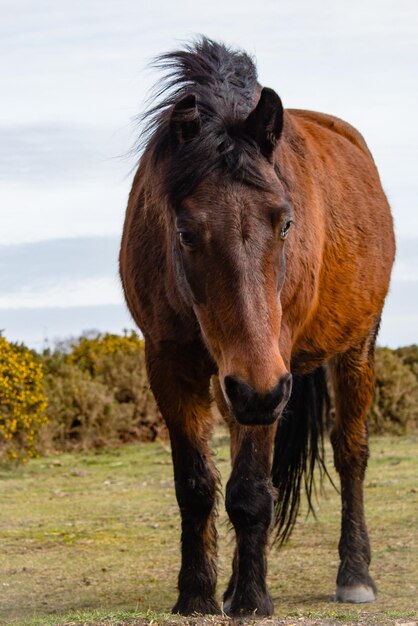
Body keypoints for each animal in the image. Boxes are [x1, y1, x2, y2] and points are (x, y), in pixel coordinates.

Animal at [120, 35, 396, 616]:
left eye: (285, 222)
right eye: (184, 232)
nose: (257, 391)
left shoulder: (271, 373)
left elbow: (250, 491)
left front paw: (250, 599)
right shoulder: (171, 363)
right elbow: (196, 485)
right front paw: (198, 596)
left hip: (354, 349)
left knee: (351, 453)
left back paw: (355, 575)